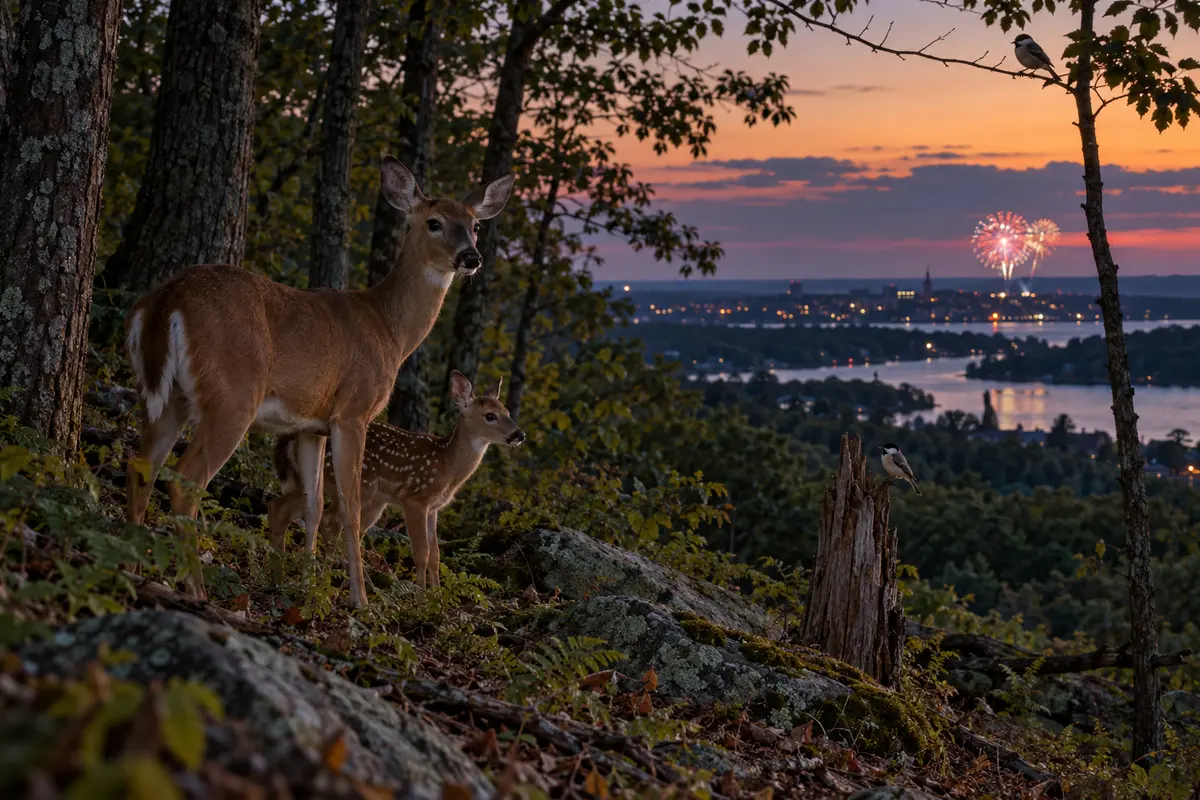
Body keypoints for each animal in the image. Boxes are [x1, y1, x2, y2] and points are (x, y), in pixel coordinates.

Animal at [267, 370, 525, 590]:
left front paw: (437, 594)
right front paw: (421, 596)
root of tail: (289, 439)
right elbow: (421, 552)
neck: (447, 465)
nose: (519, 434)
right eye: (490, 416)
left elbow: (436, 554)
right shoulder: (415, 498)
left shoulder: (434, 507)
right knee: (330, 520)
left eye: (508, 412)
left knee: (283, 507)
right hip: (360, 488)